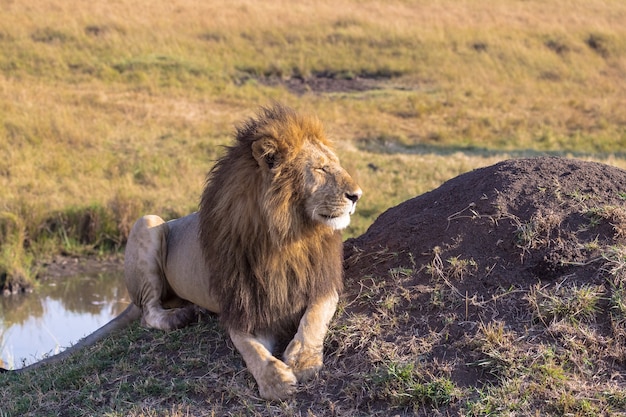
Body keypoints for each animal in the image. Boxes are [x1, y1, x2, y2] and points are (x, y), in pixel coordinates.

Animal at [2, 104, 360, 400]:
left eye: (336, 165)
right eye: (321, 169)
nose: (357, 194)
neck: (287, 238)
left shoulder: (322, 283)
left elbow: (314, 317)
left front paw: (303, 360)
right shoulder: (242, 308)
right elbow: (253, 351)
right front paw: (276, 382)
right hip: (147, 223)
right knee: (147, 312)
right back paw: (180, 317)